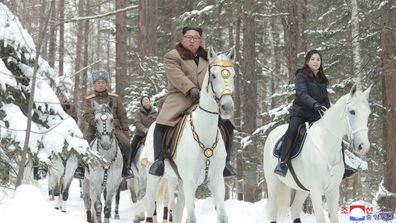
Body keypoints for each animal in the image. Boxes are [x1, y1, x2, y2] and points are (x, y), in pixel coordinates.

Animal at [262, 84, 372, 222]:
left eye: (368, 113)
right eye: (352, 112)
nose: (364, 146)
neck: (326, 146)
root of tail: (273, 133)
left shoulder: (333, 190)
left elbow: (334, 218)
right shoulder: (316, 190)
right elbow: (320, 219)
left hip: (302, 189)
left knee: (295, 209)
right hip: (273, 183)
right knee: (273, 211)